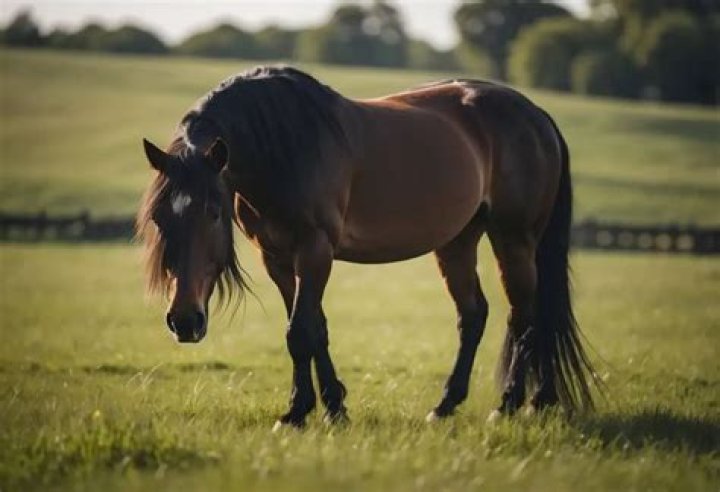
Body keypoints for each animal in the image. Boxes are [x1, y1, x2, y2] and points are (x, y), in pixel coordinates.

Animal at [137, 66, 599, 428]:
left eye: (214, 213)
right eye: (160, 218)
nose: (184, 322)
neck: (286, 148)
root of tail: (536, 115)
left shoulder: (315, 249)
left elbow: (300, 331)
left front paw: (300, 413)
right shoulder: (278, 258)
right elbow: (312, 329)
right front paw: (329, 408)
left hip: (514, 238)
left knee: (526, 316)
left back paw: (511, 405)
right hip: (458, 241)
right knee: (475, 316)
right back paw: (457, 406)